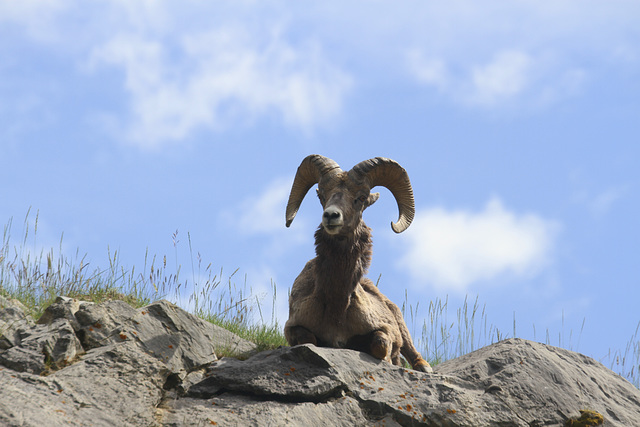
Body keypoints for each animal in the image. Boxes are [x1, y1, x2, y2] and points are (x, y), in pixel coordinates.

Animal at [284, 155, 430, 372]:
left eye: (361, 198)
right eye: (322, 196)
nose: (331, 215)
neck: (336, 307)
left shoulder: (384, 329)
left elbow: (380, 343)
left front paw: (390, 360)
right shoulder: (292, 328)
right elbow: (307, 338)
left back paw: (423, 367)